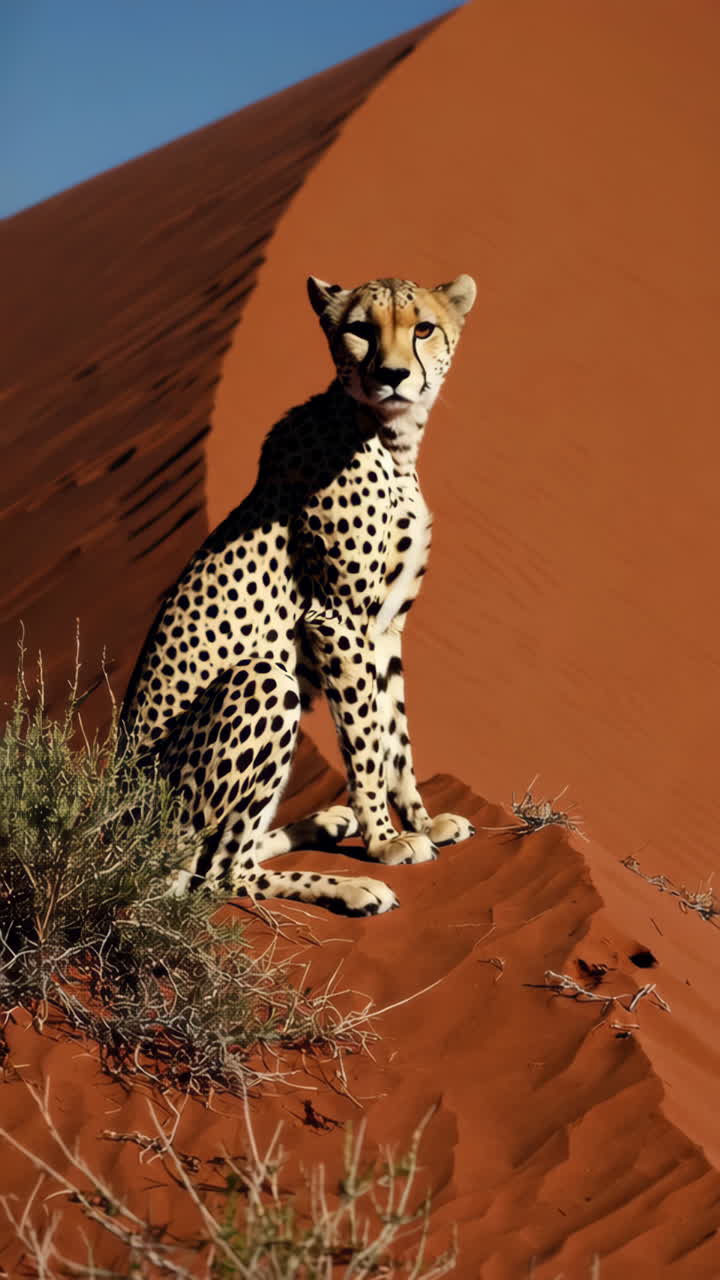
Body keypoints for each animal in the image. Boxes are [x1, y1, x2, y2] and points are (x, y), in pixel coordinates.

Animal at [120, 272, 477, 915]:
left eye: (423, 327)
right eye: (359, 329)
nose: (393, 375)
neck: (390, 438)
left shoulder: (385, 628)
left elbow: (396, 733)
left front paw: (422, 821)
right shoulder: (337, 618)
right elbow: (365, 738)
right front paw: (386, 841)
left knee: (223, 856)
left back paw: (325, 824)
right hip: (264, 683)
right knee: (219, 874)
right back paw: (354, 885)